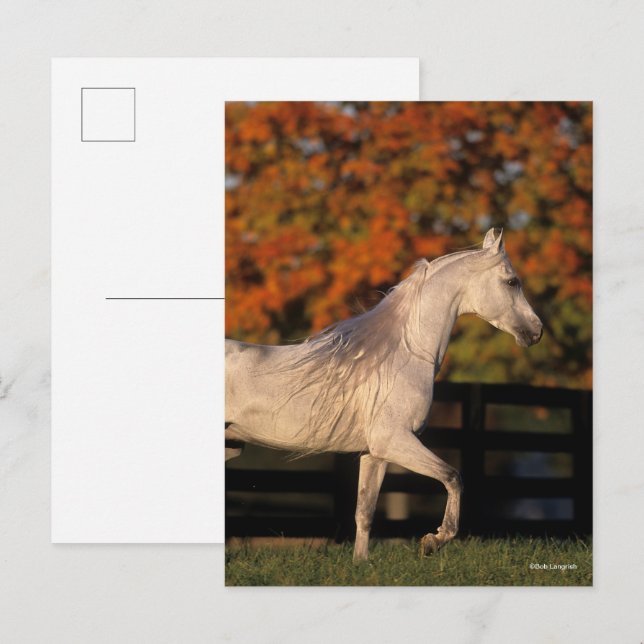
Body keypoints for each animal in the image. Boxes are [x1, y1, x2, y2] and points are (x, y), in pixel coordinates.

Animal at [225, 228, 543, 561]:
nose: (537, 331)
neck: (402, 355)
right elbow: (453, 477)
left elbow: (364, 512)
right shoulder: (395, 441)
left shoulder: (374, 454)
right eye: (512, 281)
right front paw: (434, 540)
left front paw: (360, 563)